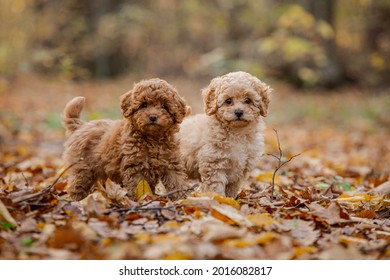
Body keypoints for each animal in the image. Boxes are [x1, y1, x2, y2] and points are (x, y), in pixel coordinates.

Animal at [61, 79, 190, 200]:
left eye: (164, 106)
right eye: (144, 105)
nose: (153, 117)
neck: (152, 139)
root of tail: (81, 125)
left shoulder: (171, 163)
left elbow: (177, 181)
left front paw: (182, 198)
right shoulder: (135, 166)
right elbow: (138, 186)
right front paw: (141, 200)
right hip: (82, 168)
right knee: (76, 185)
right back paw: (77, 200)